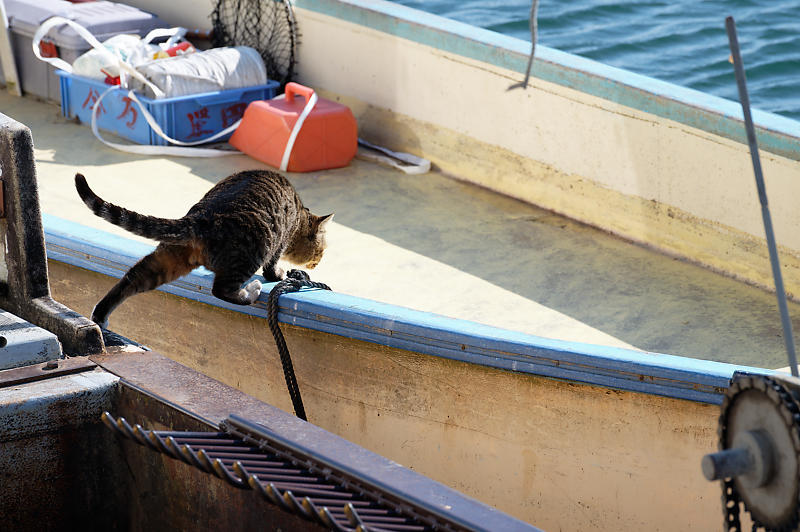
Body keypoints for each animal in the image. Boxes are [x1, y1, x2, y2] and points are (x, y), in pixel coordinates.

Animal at [76, 170, 334, 328]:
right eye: (321, 250)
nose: (319, 261)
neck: (299, 217)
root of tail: (201, 216)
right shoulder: (279, 243)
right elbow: (272, 267)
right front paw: (278, 274)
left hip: (168, 259)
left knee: (131, 278)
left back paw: (100, 315)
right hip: (251, 252)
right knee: (222, 290)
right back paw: (250, 291)